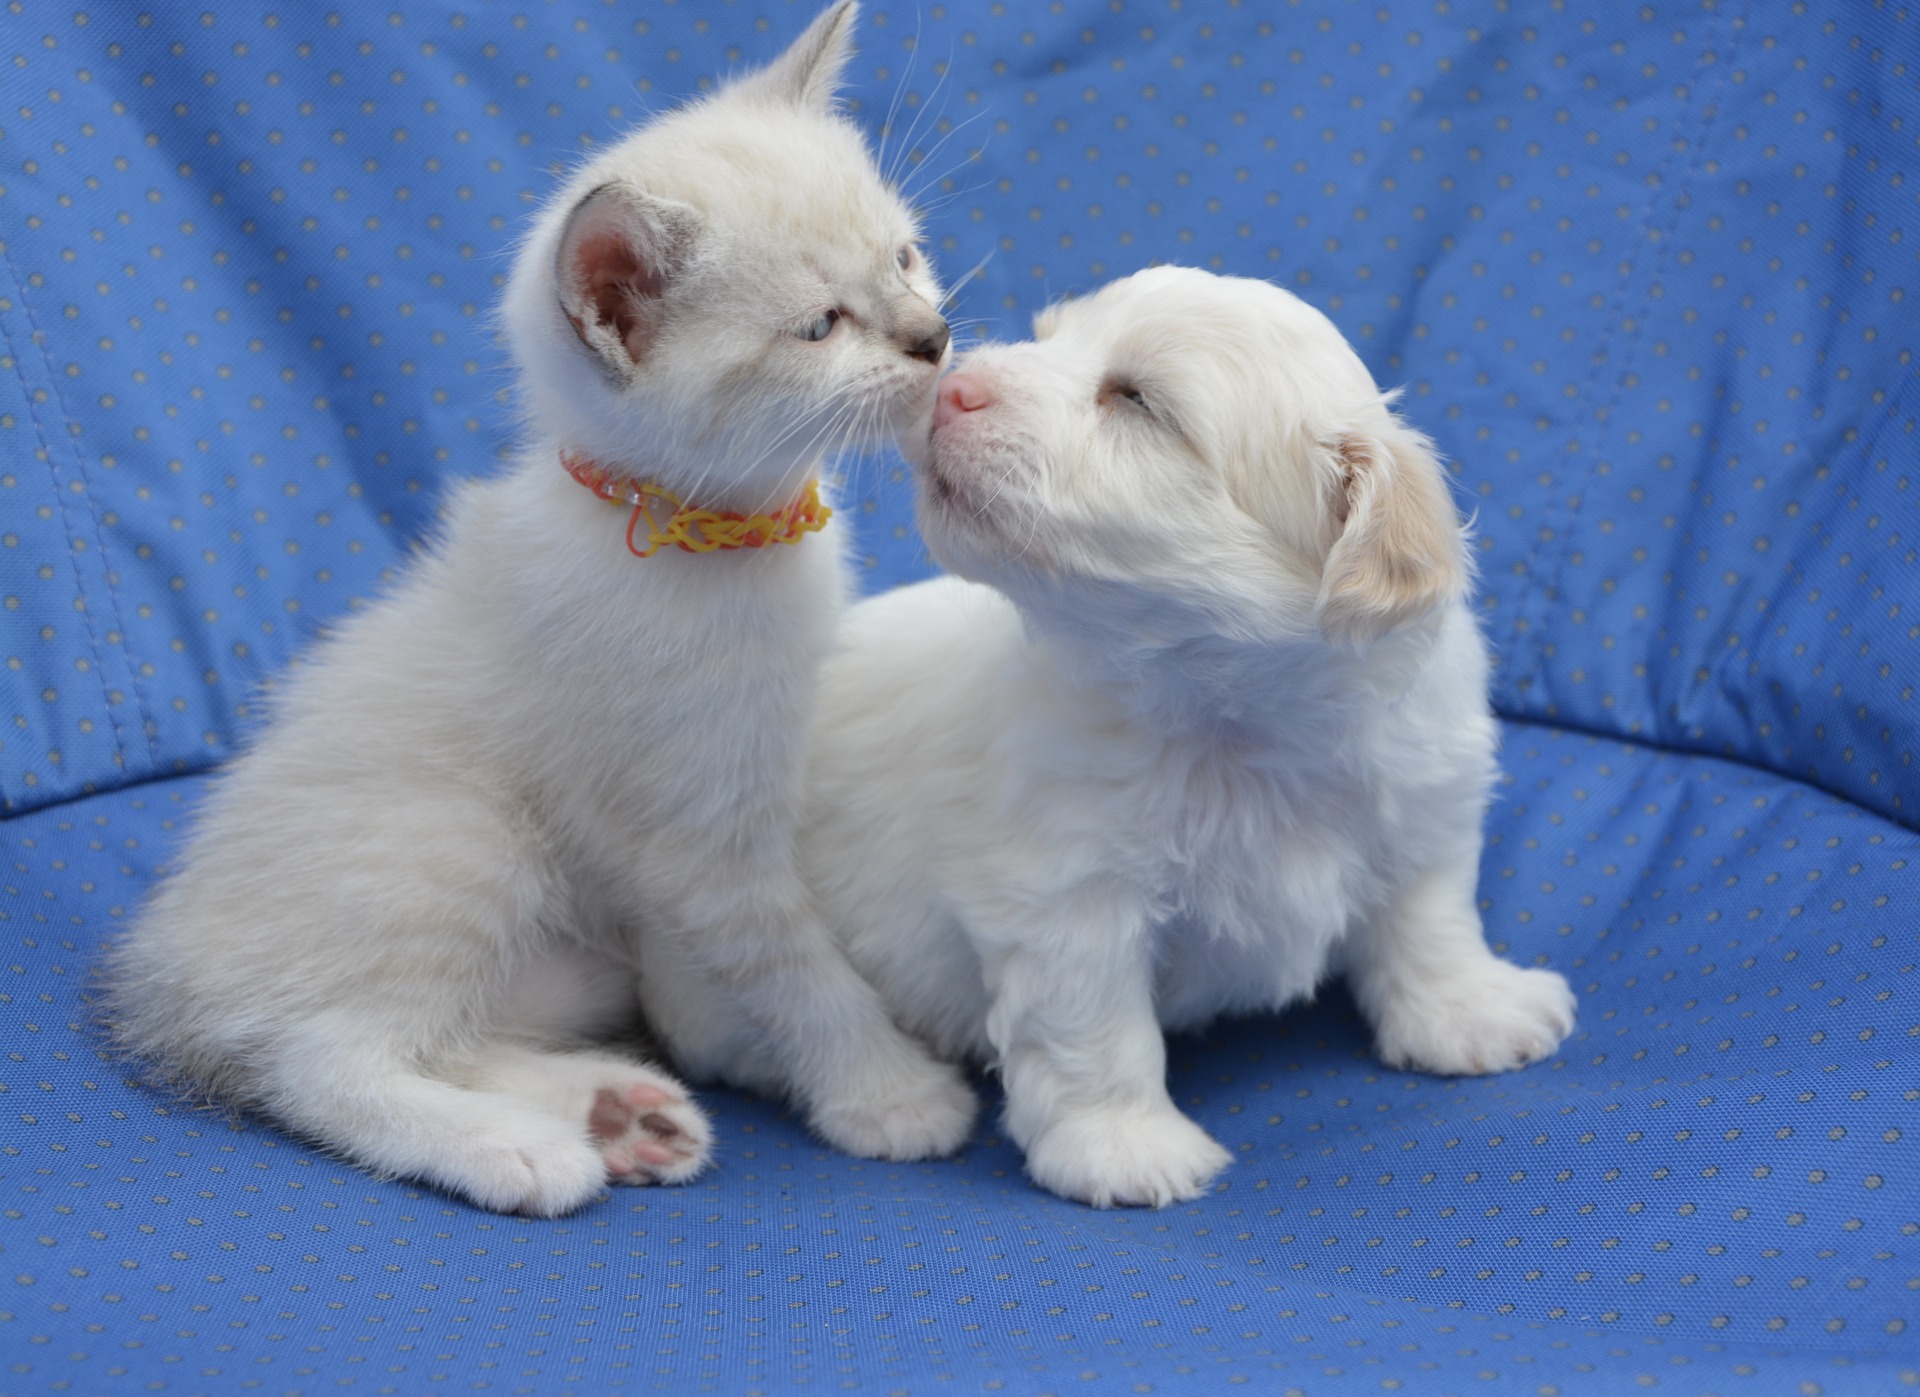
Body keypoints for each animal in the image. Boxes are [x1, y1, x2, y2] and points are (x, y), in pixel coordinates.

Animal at [103, 2, 975, 1212]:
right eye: (820, 327)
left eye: (904, 255)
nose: (932, 338)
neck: (698, 532)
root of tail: (160, 968)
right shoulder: (697, 833)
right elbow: (798, 964)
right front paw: (886, 1090)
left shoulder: (702, 819)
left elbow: (707, 969)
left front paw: (728, 1044)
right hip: (462, 839)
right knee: (314, 1052)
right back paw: (519, 1147)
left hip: (567, 962)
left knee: (441, 1030)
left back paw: (620, 1110)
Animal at [794, 266, 1574, 1205]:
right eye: (1048, 338)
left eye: (1138, 401)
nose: (950, 385)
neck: (1232, 719)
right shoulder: (1064, 894)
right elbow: (1094, 1025)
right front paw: (1122, 1145)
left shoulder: (1422, 796)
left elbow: (1430, 912)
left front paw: (1469, 1010)